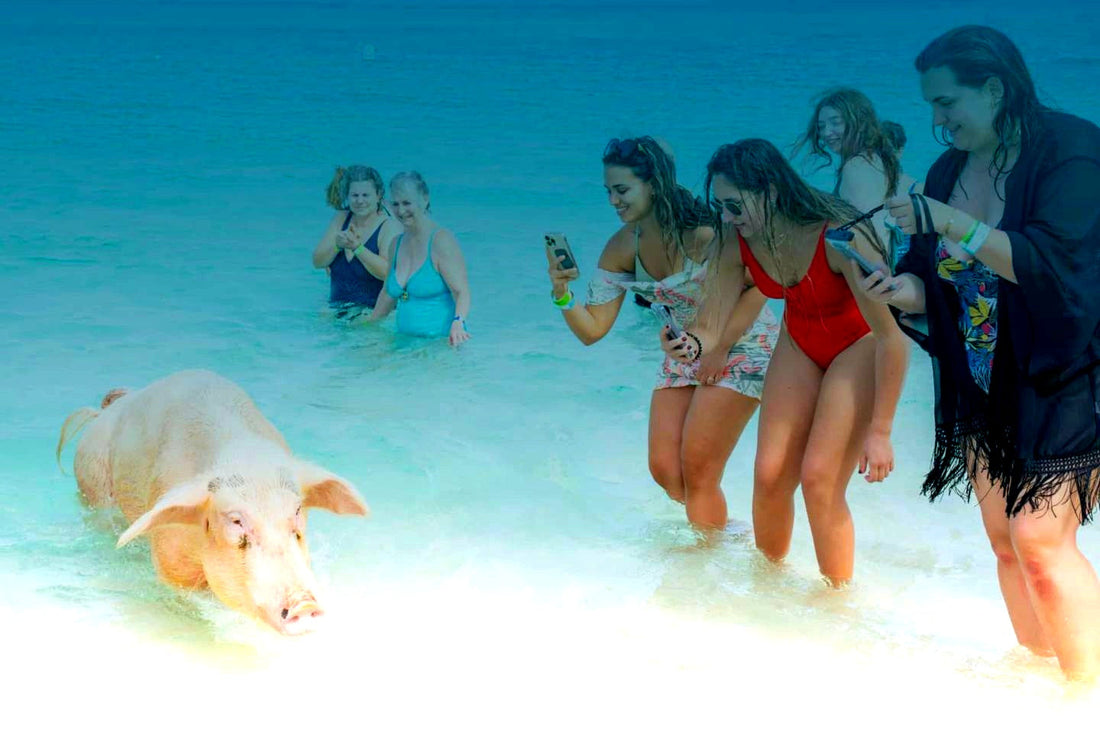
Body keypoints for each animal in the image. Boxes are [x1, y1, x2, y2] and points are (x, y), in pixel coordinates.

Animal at [56, 369, 368, 635]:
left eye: (297, 511)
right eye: (236, 520)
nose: (304, 603)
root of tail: (106, 409)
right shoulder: (169, 556)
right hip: (91, 481)